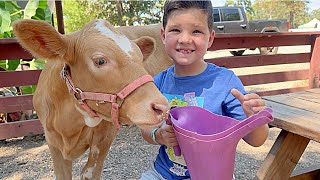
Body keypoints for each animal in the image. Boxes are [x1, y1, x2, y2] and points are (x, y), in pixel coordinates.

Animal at [12, 19, 171, 179]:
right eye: (100, 61)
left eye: (141, 59)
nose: (162, 106)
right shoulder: (52, 142)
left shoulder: (105, 136)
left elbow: (88, 172)